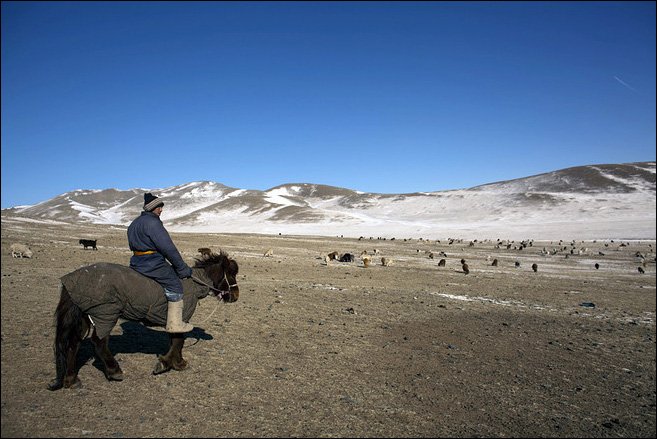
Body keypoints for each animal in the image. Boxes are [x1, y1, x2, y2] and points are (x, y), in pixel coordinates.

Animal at [48, 251, 238, 392]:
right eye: (231, 273)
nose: (235, 296)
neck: (194, 285)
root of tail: (73, 278)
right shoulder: (180, 318)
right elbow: (179, 341)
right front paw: (168, 364)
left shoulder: (173, 320)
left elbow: (175, 341)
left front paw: (177, 362)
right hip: (106, 313)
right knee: (99, 342)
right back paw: (114, 371)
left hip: (85, 316)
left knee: (74, 344)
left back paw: (71, 380)